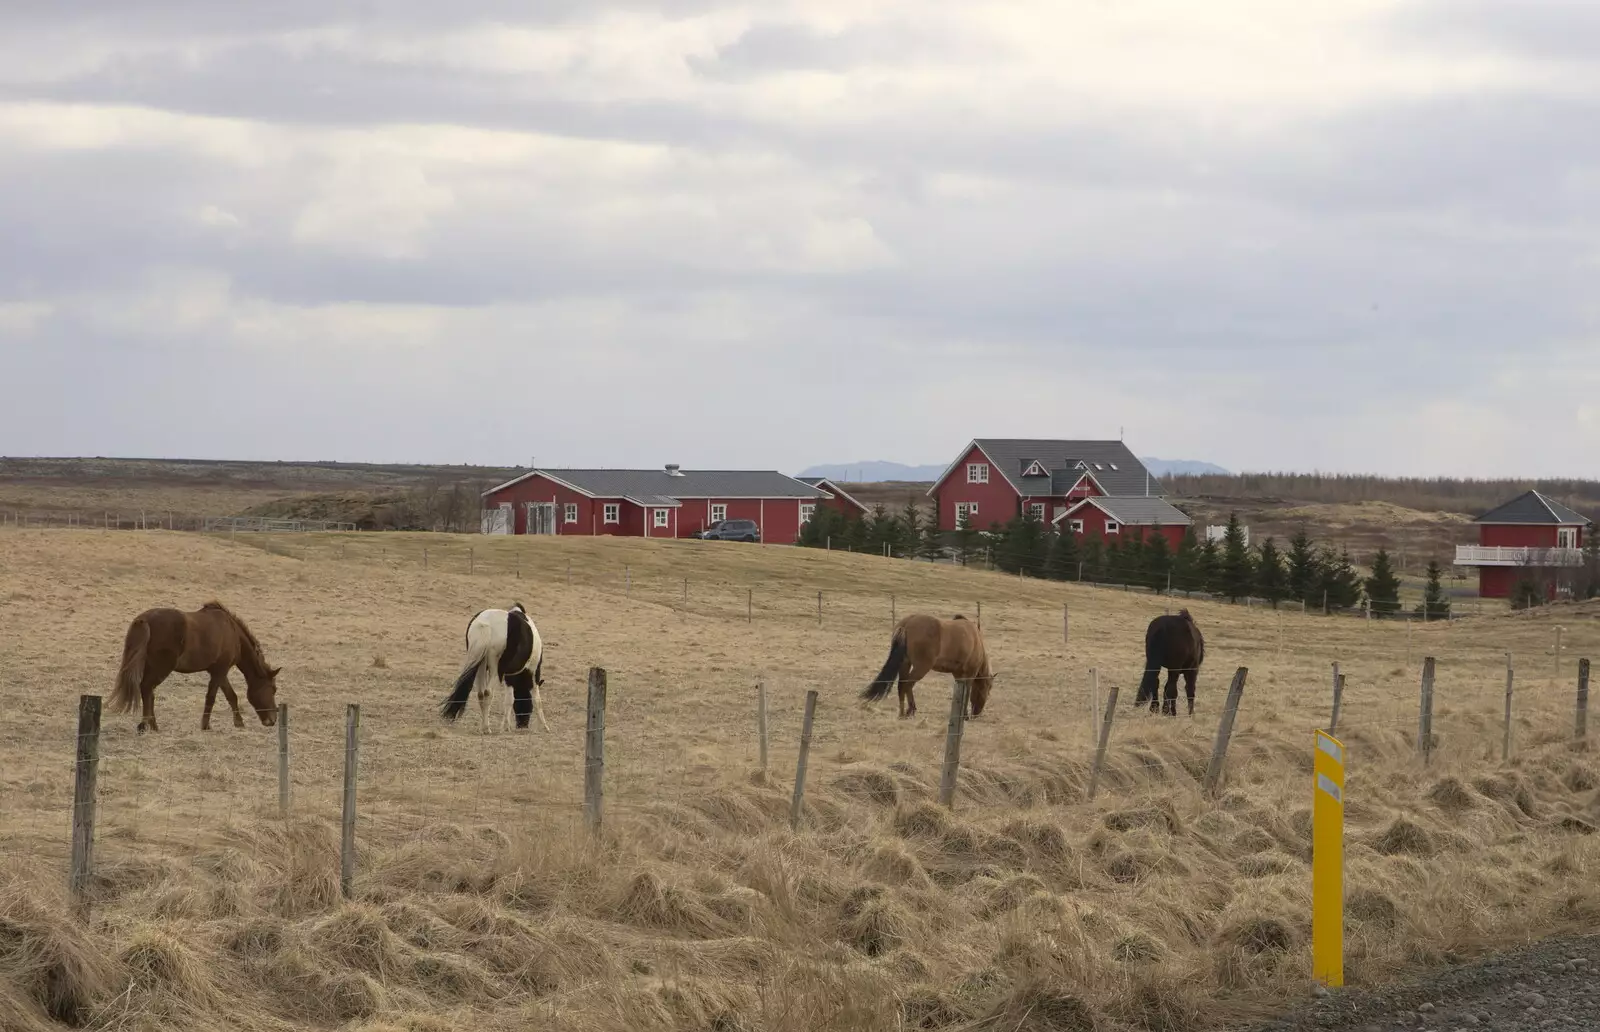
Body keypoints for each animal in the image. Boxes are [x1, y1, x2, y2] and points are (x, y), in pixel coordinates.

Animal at [108, 595, 281, 732]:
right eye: (273, 689)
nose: (272, 720)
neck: (232, 633)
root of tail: (144, 620)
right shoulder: (220, 670)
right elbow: (211, 697)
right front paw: (205, 726)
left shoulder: (218, 671)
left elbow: (231, 696)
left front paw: (239, 723)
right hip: (161, 668)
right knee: (146, 689)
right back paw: (146, 725)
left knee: (148, 692)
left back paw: (152, 725)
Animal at [441, 598, 553, 736]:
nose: (522, 725)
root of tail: (486, 624)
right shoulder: (533, 672)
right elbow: (536, 700)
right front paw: (545, 727)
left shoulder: (509, 677)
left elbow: (509, 700)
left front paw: (505, 727)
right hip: (495, 667)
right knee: (487, 692)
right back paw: (486, 728)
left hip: (481, 665)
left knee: (481, 693)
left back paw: (483, 727)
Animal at [857, 611, 992, 716]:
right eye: (987, 689)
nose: (976, 713)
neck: (976, 639)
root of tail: (907, 624)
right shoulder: (970, 673)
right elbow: (967, 693)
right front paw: (964, 715)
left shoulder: (958, 675)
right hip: (921, 667)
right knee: (907, 685)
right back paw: (910, 711)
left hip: (905, 664)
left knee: (901, 686)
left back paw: (902, 713)